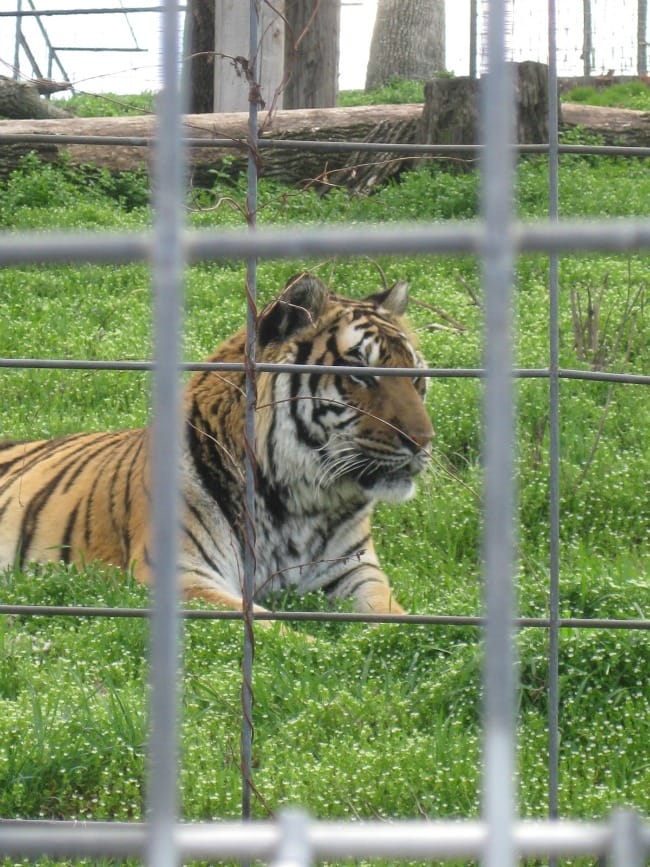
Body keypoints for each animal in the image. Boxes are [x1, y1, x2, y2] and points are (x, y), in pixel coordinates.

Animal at [1, 272, 436, 616]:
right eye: (361, 374)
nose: (423, 442)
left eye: (416, 376)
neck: (298, 505)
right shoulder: (183, 574)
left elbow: (397, 619)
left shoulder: (356, 571)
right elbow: (278, 631)